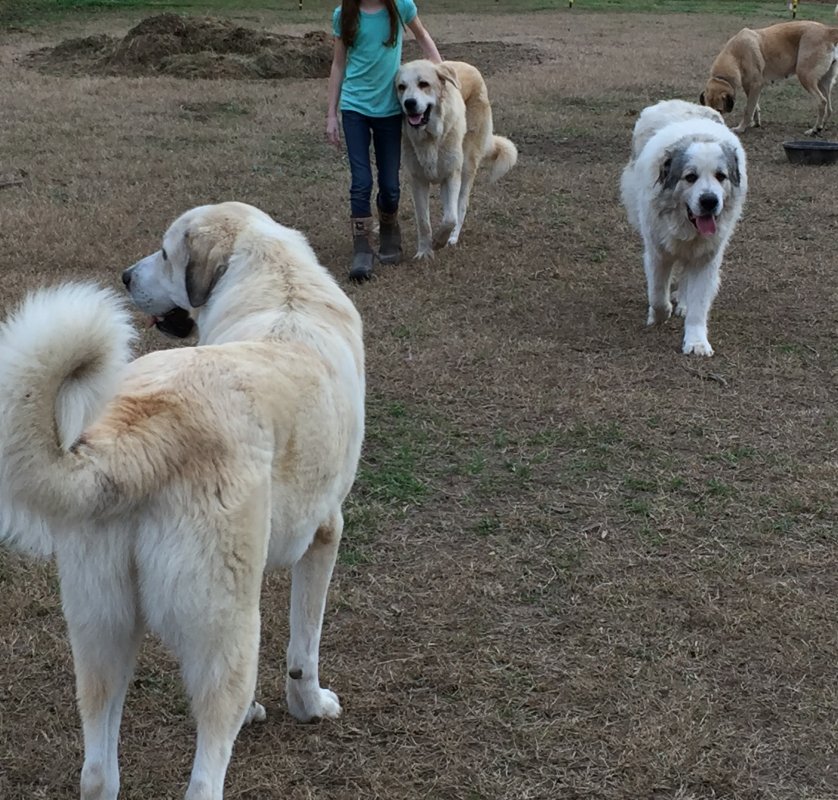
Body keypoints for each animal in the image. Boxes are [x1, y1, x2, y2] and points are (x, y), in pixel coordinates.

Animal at [0, 202, 368, 800]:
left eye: (166, 253)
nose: (125, 277)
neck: (279, 284)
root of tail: (138, 441)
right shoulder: (324, 534)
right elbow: (304, 648)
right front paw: (309, 706)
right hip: (226, 634)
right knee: (204, 777)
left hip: (101, 632)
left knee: (98, 774)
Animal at [396, 59, 520, 260]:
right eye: (401, 87)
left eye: (424, 84)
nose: (409, 103)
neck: (431, 138)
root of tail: (470, 66)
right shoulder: (418, 180)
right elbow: (423, 222)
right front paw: (424, 251)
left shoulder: (452, 176)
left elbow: (450, 218)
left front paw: (439, 241)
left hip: (467, 166)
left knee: (460, 206)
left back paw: (453, 237)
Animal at [624, 100, 748, 356]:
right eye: (690, 177)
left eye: (721, 176)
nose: (709, 201)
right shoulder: (658, 252)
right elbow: (657, 294)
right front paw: (659, 315)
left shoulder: (707, 257)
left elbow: (698, 304)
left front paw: (696, 341)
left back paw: (682, 302)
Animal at [700, 20, 838, 134]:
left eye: (719, 110)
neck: (735, 56)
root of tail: (828, 30)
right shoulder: (750, 87)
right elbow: (754, 106)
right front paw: (755, 123)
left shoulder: (756, 85)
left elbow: (748, 109)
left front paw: (741, 128)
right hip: (823, 82)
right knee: (829, 108)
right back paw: (821, 127)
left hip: (805, 76)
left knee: (822, 102)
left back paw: (814, 129)